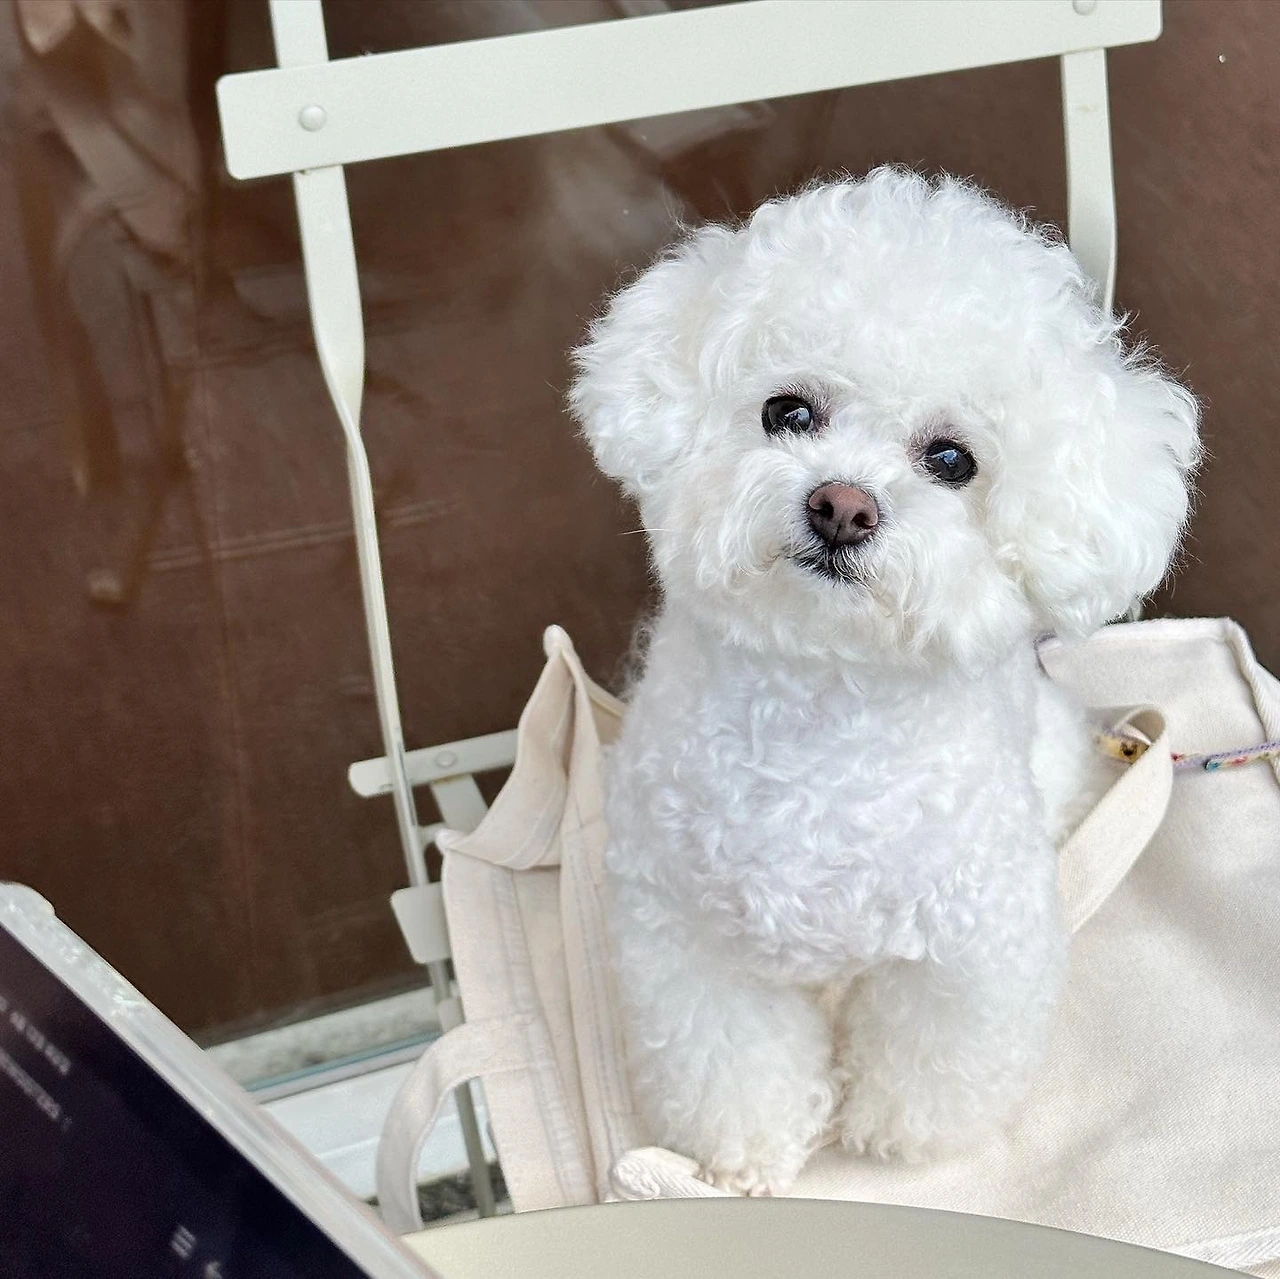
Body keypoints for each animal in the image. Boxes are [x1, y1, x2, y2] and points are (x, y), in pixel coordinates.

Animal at [568, 169, 1199, 1195]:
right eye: (787, 412)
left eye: (951, 459)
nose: (842, 505)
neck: (824, 708)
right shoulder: (693, 945)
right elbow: (733, 1065)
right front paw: (746, 1148)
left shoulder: (968, 949)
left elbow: (931, 1061)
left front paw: (899, 1134)